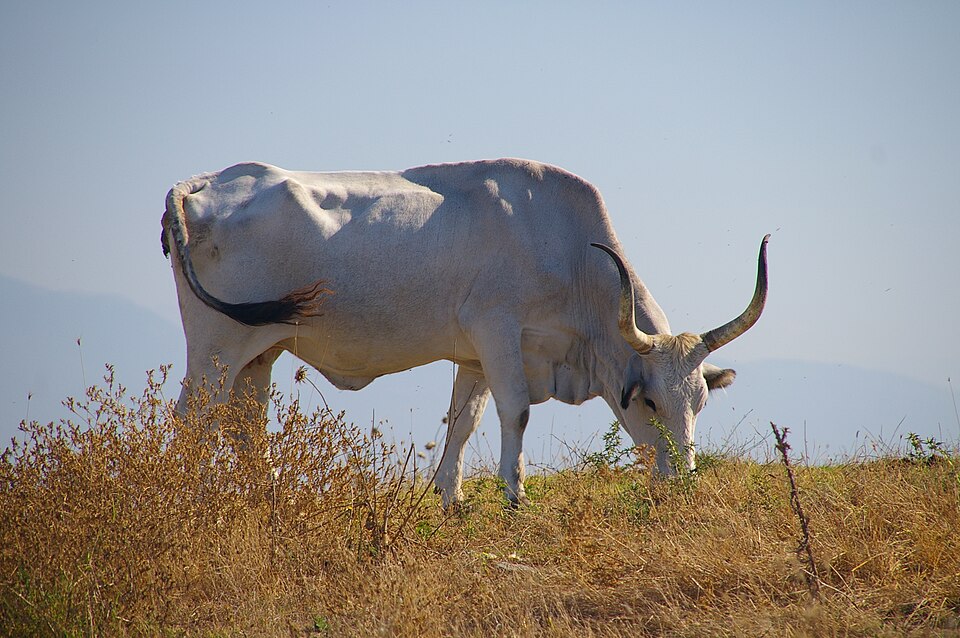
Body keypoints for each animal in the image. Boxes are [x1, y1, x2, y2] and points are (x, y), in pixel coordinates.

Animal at [161, 158, 768, 507]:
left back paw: (268, 501)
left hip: (256, 354)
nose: (683, 484)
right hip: (215, 349)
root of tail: (201, 182)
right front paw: (513, 498)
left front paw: (449, 499)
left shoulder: (475, 355)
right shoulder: (496, 330)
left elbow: (463, 419)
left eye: (700, 404)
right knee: (191, 418)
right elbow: (514, 412)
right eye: (648, 401)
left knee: (246, 427)